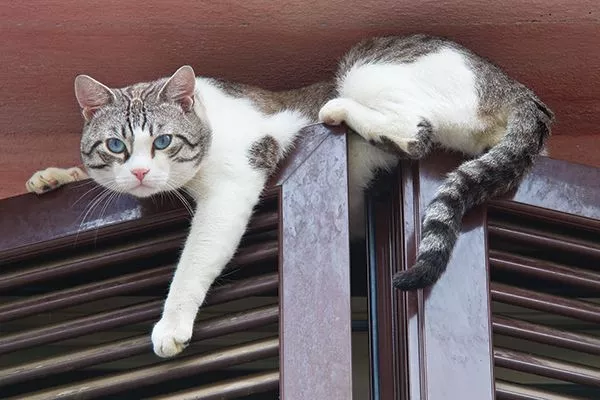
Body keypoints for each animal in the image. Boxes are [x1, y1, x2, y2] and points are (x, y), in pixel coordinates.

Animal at [28, 35, 552, 360]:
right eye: (116, 146)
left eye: (163, 141)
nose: (139, 171)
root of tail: (517, 89)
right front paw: (53, 176)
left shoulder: (235, 183)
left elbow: (195, 260)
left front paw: (171, 324)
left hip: (366, 68)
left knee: (415, 131)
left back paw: (337, 107)